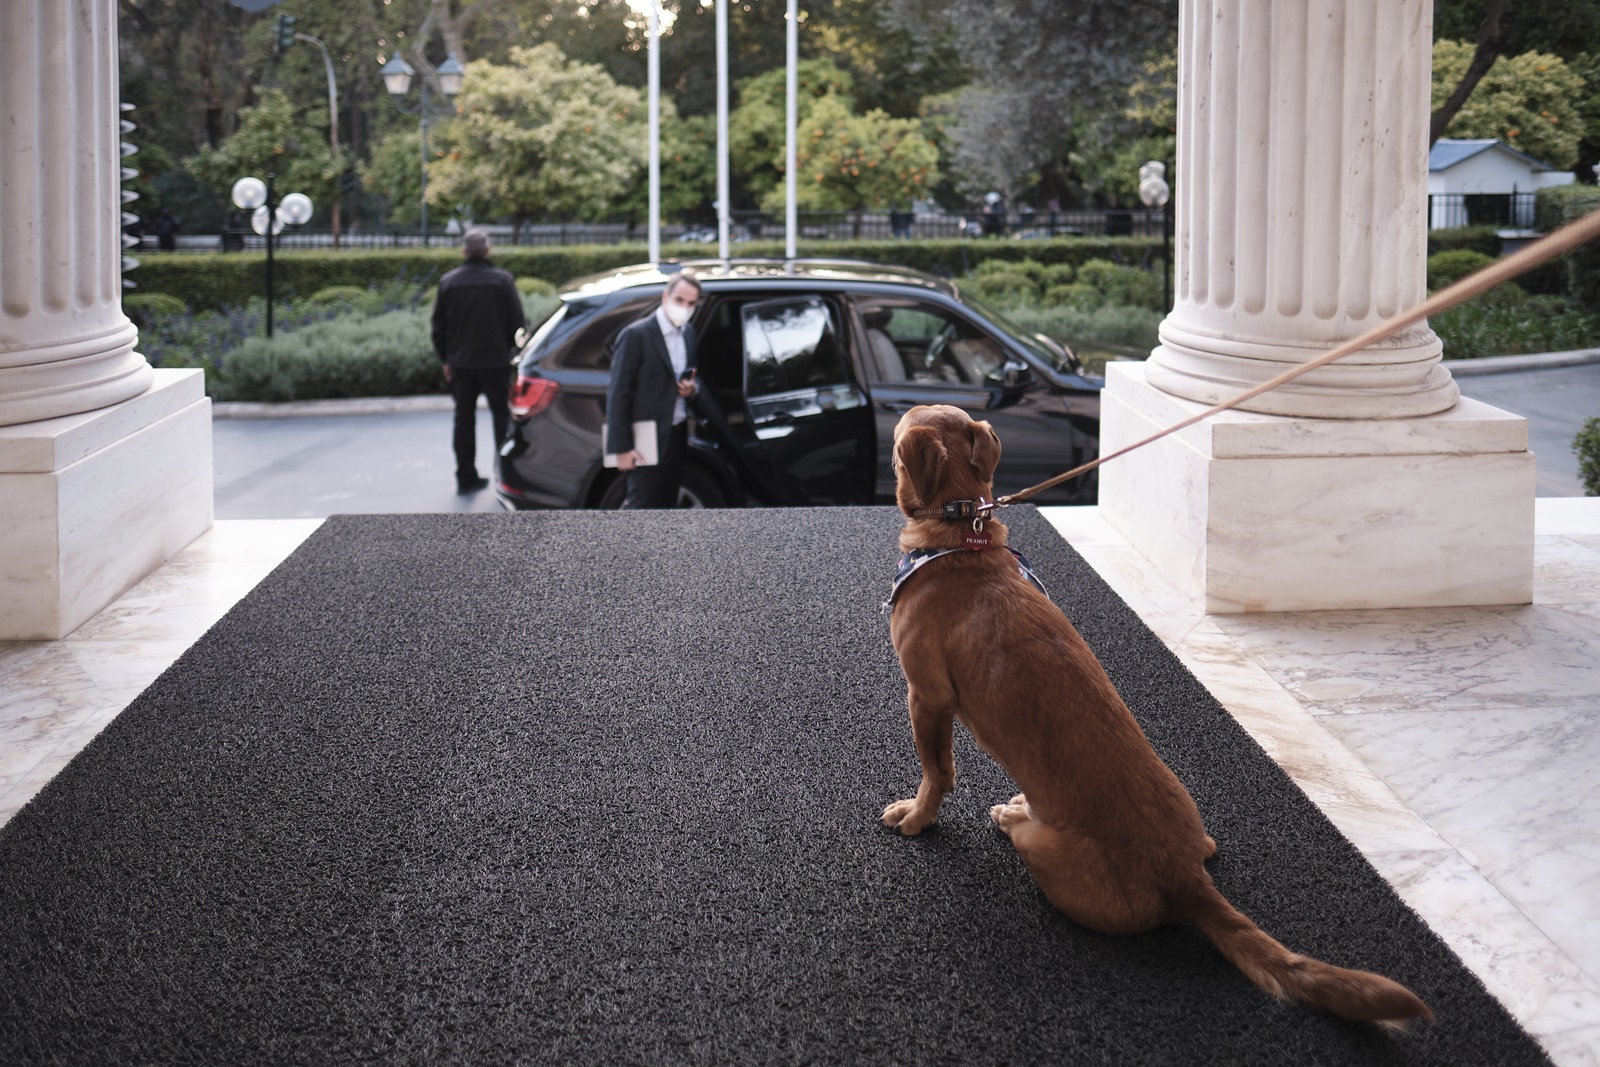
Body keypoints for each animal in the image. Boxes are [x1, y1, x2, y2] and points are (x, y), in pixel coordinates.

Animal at [883, 404, 1433, 1030]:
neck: (961, 537)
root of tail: (1185, 880)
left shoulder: (926, 697)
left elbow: (936, 774)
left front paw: (916, 817)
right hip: (1192, 824)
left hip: (1042, 848)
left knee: (1024, 833)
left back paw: (1013, 811)